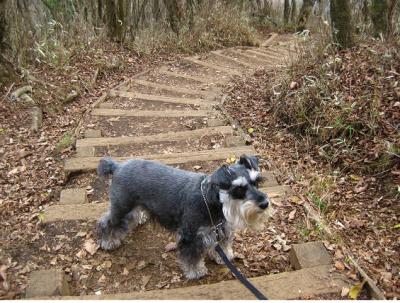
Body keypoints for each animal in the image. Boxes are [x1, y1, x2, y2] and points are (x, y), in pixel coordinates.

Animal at [97, 156, 272, 282]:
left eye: (256, 182)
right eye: (239, 189)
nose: (264, 203)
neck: (209, 200)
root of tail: (117, 166)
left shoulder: (219, 228)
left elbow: (222, 244)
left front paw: (223, 256)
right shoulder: (190, 236)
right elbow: (191, 257)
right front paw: (196, 271)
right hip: (121, 207)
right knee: (107, 223)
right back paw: (108, 241)